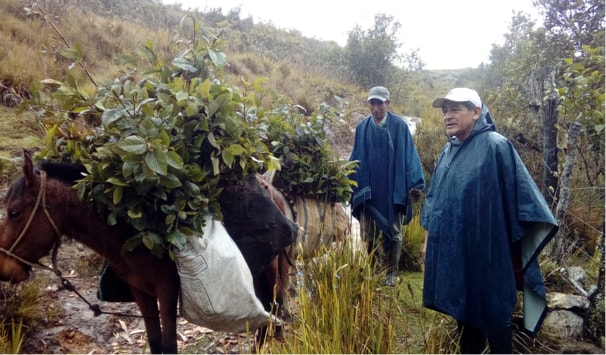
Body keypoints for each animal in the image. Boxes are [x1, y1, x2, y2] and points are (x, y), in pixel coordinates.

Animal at [0, 152, 296, 354]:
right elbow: (155, 342)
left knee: (275, 307)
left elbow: (169, 344)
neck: (131, 233)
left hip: (271, 268)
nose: (4, 269)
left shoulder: (167, 289)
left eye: (14, 212)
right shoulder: (139, 290)